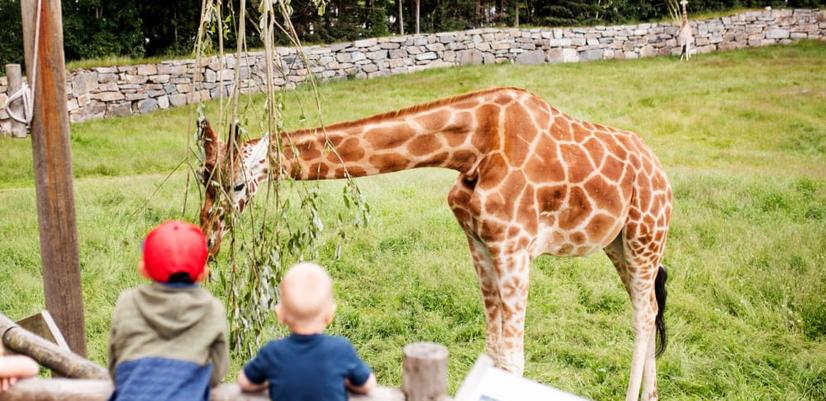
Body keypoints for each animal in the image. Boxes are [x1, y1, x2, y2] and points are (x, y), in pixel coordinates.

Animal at [197, 87, 672, 401]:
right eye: (204, 181)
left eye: (236, 185)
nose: (209, 241)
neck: (473, 146)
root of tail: (660, 172)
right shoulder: (479, 241)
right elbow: (494, 351)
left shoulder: (514, 244)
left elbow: (513, 360)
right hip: (618, 244)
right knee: (647, 307)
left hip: (646, 233)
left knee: (643, 314)